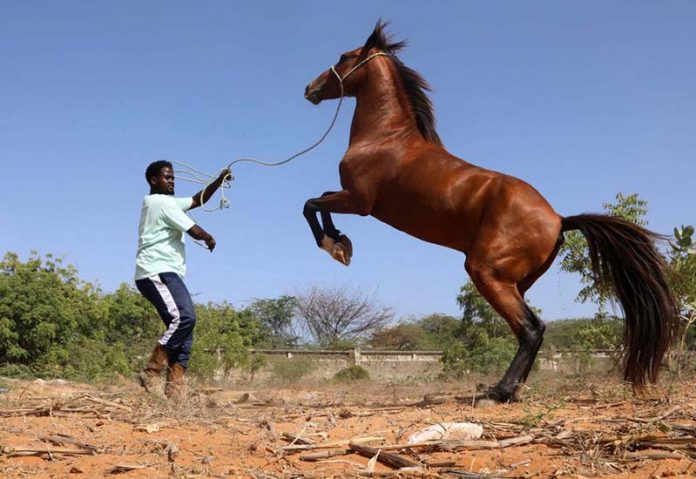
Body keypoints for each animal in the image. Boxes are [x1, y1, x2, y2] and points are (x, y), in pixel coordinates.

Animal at [302, 21, 677, 402]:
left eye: (344, 57)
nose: (310, 88)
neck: (386, 137)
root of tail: (558, 220)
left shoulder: (359, 201)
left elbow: (310, 204)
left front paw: (336, 247)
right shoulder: (350, 198)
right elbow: (318, 199)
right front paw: (341, 242)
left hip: (486, 272)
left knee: (530, 329)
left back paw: (498, 392)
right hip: (515, 282)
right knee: (532, 329)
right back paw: (510, 390)